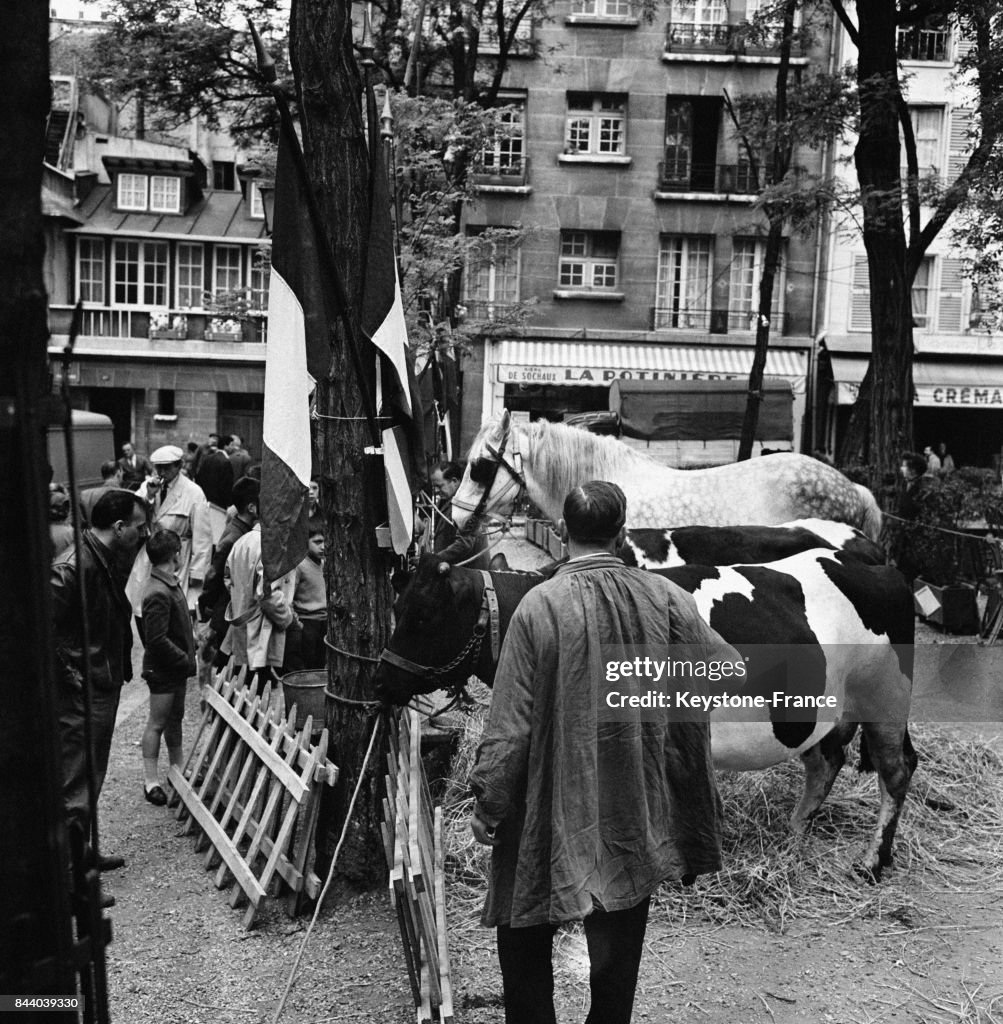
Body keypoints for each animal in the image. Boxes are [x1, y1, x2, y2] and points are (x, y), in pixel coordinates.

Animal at [377, 548, 917, 876]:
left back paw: (872, 861)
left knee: (897, 768)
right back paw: (793, 833)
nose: (382, 679)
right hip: (818, 709)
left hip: (886, 695)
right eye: (396, 606)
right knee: (825, 761)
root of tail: (881, 567)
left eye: (422, 616)